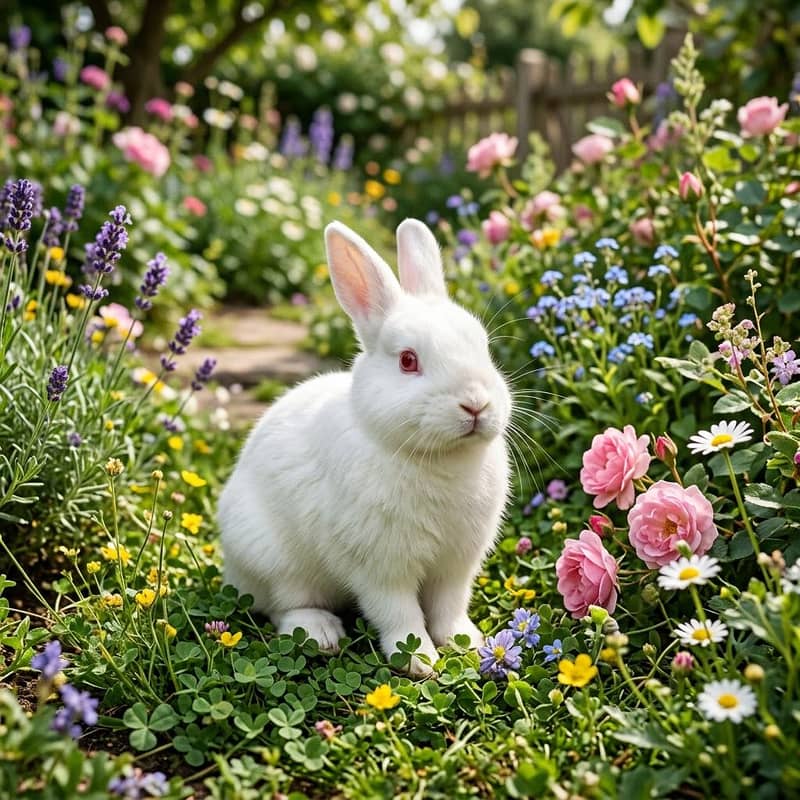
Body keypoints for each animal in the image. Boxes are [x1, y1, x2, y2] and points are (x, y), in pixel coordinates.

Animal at [218, 218, 511, 676]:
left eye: (483, 347)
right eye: (408, 361)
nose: (476, 404)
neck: (437, 458)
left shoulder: (456, 563)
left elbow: (449, 607)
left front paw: (467, 644)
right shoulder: (380, 567)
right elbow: (398, 615)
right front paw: (420, 663)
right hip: (271, 558)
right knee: (284, 605)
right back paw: (320, 633)